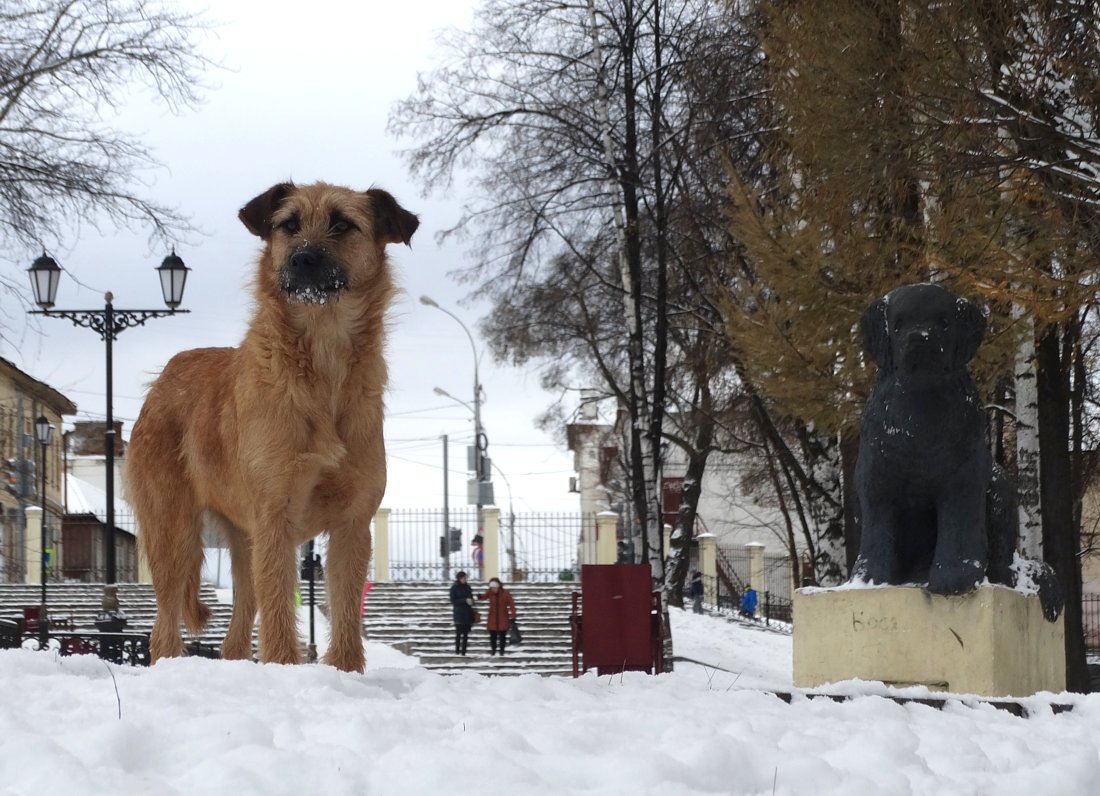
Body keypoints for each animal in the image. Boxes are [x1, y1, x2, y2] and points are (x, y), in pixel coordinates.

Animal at [124, 181, 415, 672]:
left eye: (343, 224)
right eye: (288, 225)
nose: (302, 259)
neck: (321, 363)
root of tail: (166, 374)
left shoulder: (352, 525)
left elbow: (344, 612)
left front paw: (344, 673)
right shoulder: (276, 517)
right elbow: (280, 612)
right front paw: (285, 668)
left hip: (244, 543)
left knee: (237, 630)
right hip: (174, 532)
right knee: (163, 628)